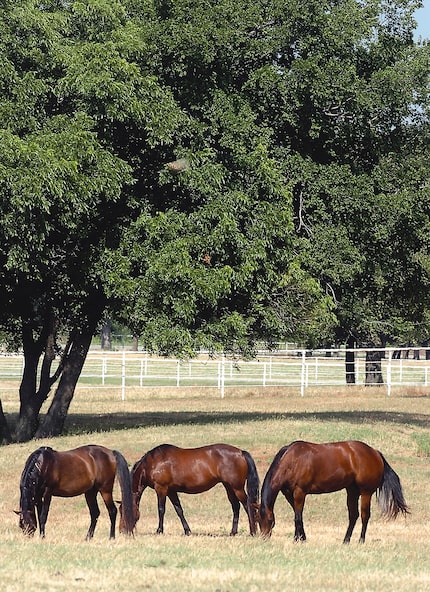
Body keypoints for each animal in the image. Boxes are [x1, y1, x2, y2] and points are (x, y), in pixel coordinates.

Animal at [120, 444, 262, 536]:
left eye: (123, 511)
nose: (122, 530)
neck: (151, 464)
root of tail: (240, 452)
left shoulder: (161, 489)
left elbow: (161, 510)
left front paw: (159, 530)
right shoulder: (171, 491)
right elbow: (179, 510)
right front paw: (187, 531)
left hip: (237, 488)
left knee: (247, 505)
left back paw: (253, 531)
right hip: (229, 487)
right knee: (236, 506)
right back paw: (233, 532)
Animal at [256, 438, 408, 544]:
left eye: (270, 520)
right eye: (257, 519)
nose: (264, 538)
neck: (292, 461)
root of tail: (375, 452)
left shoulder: (300, 492)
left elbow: (298, 517)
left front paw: (299, 539)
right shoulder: (289, 494)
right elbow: (297, 515)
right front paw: (299, 537)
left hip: (366, 493)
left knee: (365, 516)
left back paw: (361, 540)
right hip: (352, 492)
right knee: (353, 516)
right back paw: (346, 540)